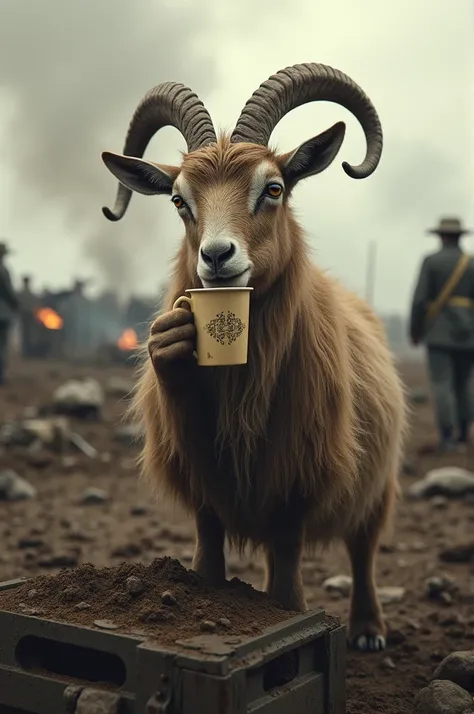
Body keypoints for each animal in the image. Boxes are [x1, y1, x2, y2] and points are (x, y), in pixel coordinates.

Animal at [103, 64, 408, 648]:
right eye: (179, 201)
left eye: (274, 188)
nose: (217, 257)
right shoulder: (200, 476)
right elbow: (208, 548)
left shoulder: (297, 479)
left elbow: (289, 563)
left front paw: (292, 619)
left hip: (376, 485)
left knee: (363, 551)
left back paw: (368, 628)